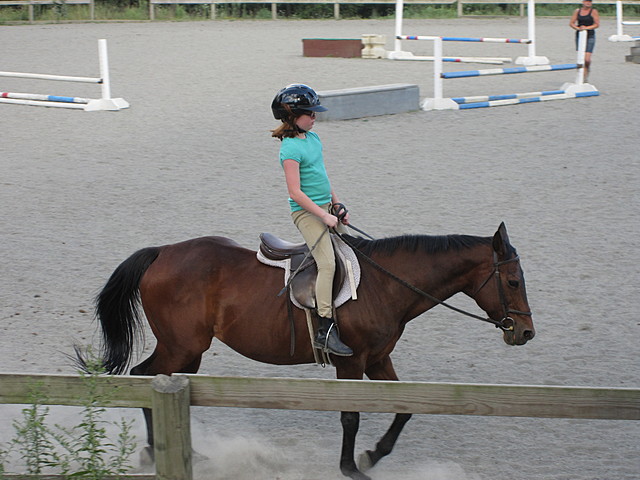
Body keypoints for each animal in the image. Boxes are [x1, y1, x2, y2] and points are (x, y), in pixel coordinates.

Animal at [81, 222, 534, 480]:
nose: (526, 333)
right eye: (513, 282)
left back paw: (180, 452)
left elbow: (404, 410)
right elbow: (350, 417)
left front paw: (372, 457)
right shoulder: (351, 362)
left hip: (187, 351)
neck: (385, 285)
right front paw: (351, 468)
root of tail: (163, 252)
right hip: (182, 346)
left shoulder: (378, 359)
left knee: (158, 382)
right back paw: (156, 454)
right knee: (144, 379)